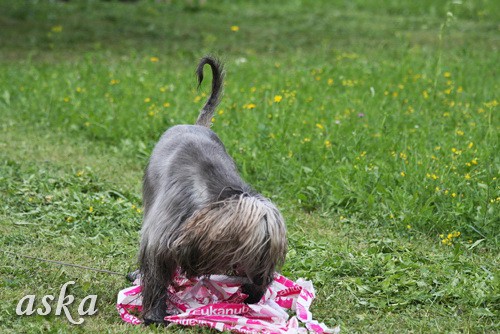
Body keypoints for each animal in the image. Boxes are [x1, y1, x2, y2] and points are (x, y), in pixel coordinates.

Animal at [137, 56, 288, 324]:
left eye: (272, 258)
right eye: (257, 253)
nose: (258, 288)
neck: (210, 196)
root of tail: (195, 125)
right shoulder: (160, 235)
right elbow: (156, 272)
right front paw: (155, 313)